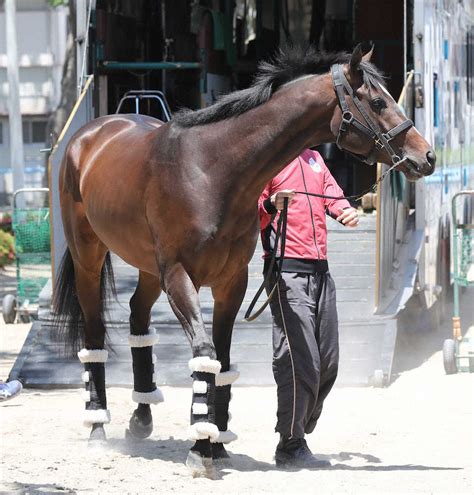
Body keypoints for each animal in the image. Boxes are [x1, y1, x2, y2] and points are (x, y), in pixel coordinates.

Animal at [53, 44, 436, 478]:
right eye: (377, 102)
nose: (426, 156)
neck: (211, 171)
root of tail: (88, 135)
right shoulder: (180, 276)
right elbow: (205, 354)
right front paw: (200, 447)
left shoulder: (230, 281)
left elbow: (222, 360)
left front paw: (216, 443)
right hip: (90, 258)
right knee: (94, 334)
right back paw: (98, 428)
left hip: (149, 269)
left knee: (137, 318)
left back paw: (142, 418)